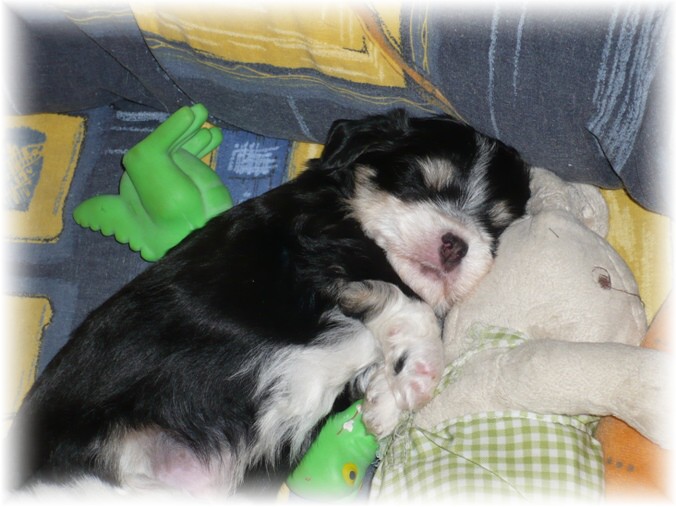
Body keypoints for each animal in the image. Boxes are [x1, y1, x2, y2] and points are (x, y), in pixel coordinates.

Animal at [10, 109, 531, 497]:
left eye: (497, 225)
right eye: (419, 182)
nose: (456, 244)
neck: (349, 215)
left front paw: (385, 402)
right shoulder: (315, 256)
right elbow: (411, 304)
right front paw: (419, 375)